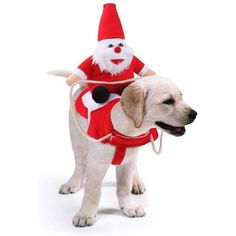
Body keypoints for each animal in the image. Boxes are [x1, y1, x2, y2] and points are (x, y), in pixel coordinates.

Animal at [58, 76, 197, 227]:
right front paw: (85, 214)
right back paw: (72, 183)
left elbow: (124, 186)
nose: (195, 114)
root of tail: (84, 85)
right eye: (168, 101)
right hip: (76, 138)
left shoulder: (127, 162)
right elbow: (92, 191)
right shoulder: (96, 164)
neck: (126, 129)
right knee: (80, 164)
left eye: (181, 96)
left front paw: (129, 206)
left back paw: (136, 183)